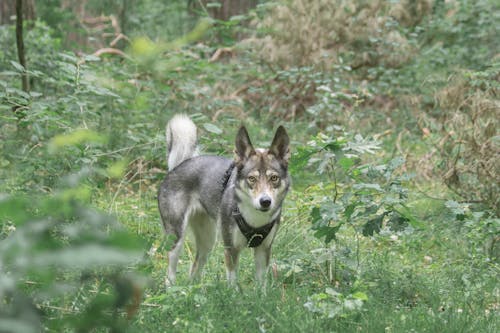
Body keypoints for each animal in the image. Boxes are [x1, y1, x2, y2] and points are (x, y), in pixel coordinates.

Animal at [158, 115, 292, 286]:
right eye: (252, 179)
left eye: (274, 178)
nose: (265, 201)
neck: (255, 219)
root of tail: (180, 165)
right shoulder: (231, 249)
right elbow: (233, 282)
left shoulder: (264, 250)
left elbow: (261, 285)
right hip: (176, 236)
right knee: (171, 269)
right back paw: (171, 288)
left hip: (208, 241)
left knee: (194, 270)